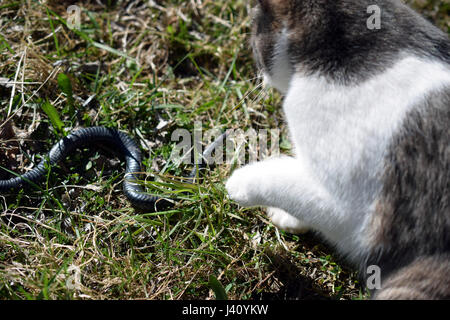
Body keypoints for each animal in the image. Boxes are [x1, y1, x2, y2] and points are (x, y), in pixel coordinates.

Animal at [227, 0, 448, 300]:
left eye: (253, 40)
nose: (258, 75)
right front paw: (289, 217)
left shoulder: (347, 212)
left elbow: (284, 182)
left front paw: (238, 184)